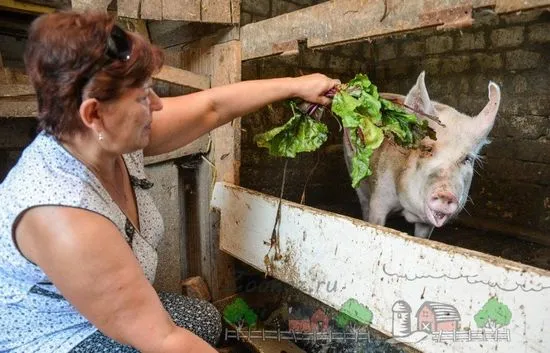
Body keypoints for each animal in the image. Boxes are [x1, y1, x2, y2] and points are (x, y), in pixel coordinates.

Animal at [348, 71, 502, 236]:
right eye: (427, 149)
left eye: (467, 158)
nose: (445, 194)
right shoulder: (379, 198)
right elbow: (376, 223)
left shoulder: (426, 223)